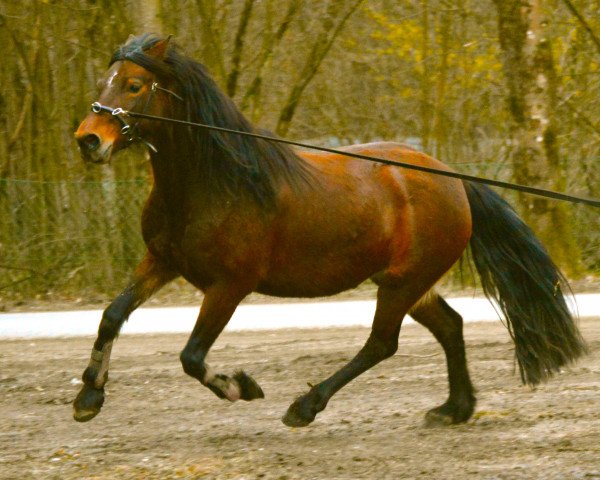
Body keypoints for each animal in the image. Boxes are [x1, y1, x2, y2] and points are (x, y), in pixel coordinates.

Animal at [71, 33, 584, 426]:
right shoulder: (162, 261)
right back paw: (453, 409)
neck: (215, 182)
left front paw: (241, 387)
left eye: (134, 85)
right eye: (102, 82)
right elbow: (112, 315)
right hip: (408, 282)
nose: (88, 140)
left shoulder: (230, 285)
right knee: (449, 326)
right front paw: (88, 398)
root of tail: (452, 179)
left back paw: (305, 406)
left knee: (381, 344)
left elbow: (192, 357)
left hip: (402, 283)